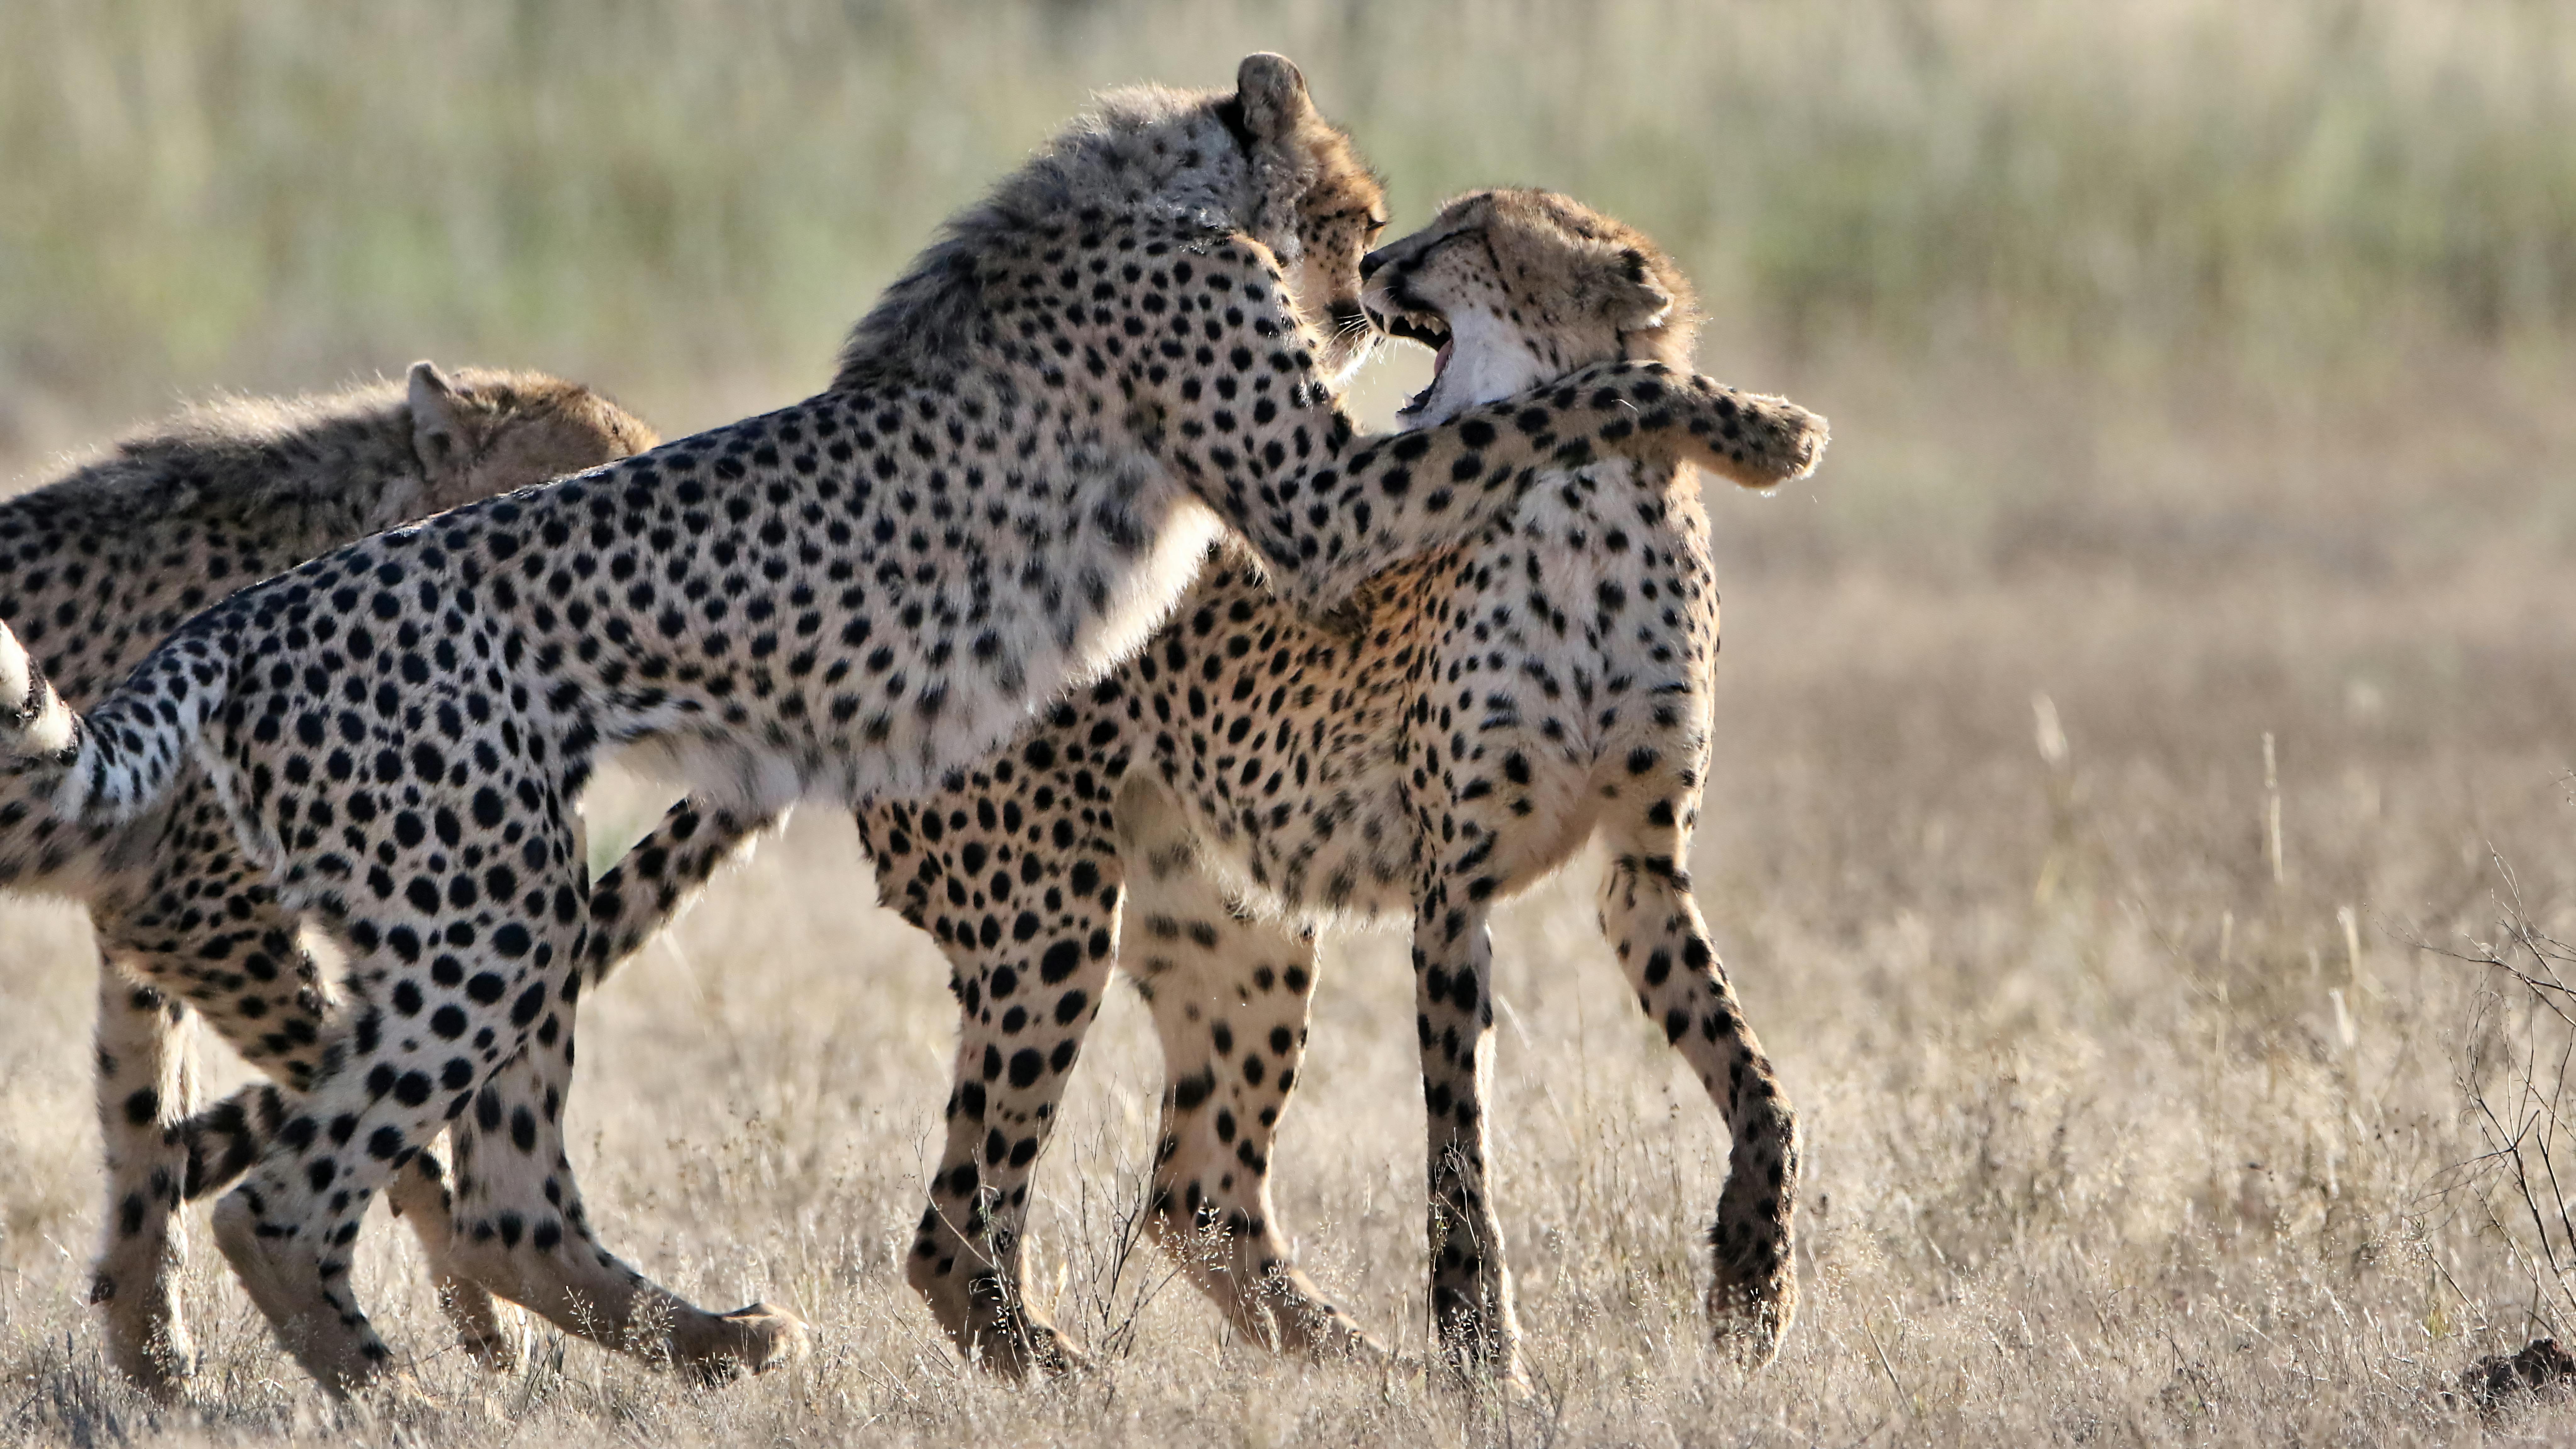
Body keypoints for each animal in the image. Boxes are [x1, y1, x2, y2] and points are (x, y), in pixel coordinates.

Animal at [0, 364, 655, 1398]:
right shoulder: (195, 913)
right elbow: (379, 1123)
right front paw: (485, 1317)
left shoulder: (151, 917)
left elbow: (143, 1114)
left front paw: (155, 1361)